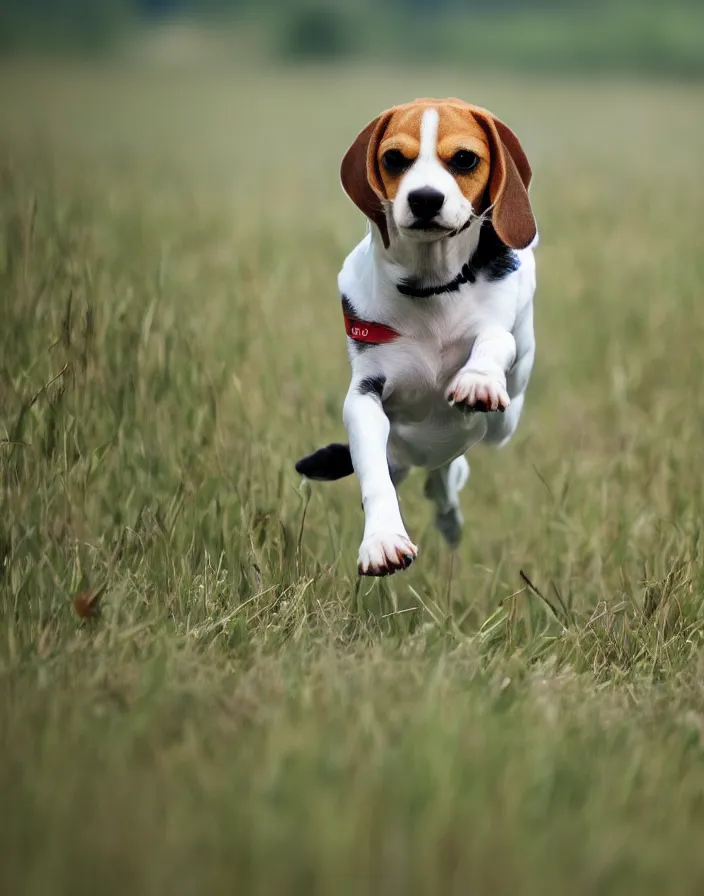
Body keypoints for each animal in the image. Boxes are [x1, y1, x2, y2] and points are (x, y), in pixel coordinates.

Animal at [294, 96, 536, 576]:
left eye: (464, 159)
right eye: (393, 158)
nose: (425, 198)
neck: (432, 285)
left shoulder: (500, 337)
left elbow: (494, 341)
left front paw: (478, 380)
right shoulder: (365, 395)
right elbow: (373, 474)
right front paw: (383, 541)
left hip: (503, 420)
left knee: (449, 477)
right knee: (426, 478)